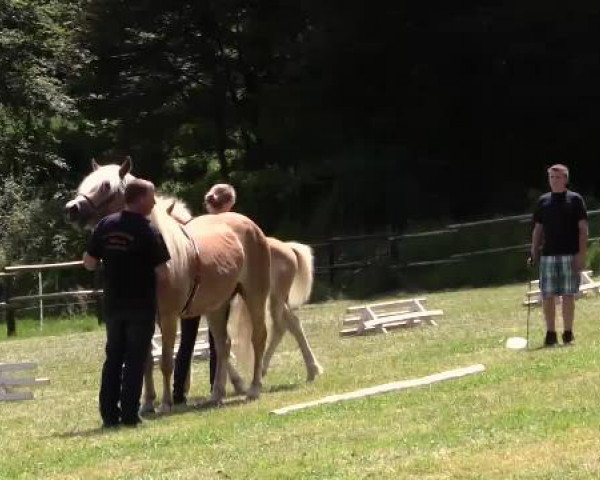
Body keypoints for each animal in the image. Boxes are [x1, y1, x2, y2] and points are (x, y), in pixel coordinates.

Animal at [64, 158, 270, 412]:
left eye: (105, 186)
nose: (72, 208)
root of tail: (249, 225)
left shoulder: (168, 316)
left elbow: (165, 360)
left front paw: (165, 403)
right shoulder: (145, 317)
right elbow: (144, 360)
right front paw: (146, 403)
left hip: (255, 295)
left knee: (258, 337)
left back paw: (253, 389)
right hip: (216, 307)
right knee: (223, 345)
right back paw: (217, 394)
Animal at [164, 206, 324, 394]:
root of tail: (288, 248)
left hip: (270, 298)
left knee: (282, 326)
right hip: (273, 300)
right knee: (290, 324)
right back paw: (308, 370)